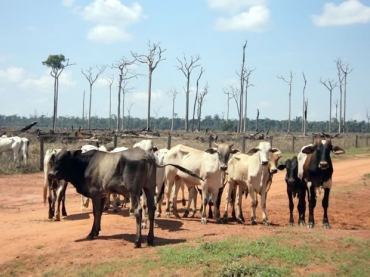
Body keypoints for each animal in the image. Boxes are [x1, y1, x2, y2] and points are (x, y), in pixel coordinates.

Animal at [48, 148, 202, 247]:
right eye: (54, 159)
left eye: (64, 159)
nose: (50, 174)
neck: (86, 164)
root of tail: (147, 155)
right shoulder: (102, 195)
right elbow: (99, 214)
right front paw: (97, 230)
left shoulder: (95, 193)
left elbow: (96, 213)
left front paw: (92, 233)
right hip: (149, 188)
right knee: (151, 210)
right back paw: (150, 239)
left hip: (134, 191)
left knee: (139, 211)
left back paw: (137, 241)